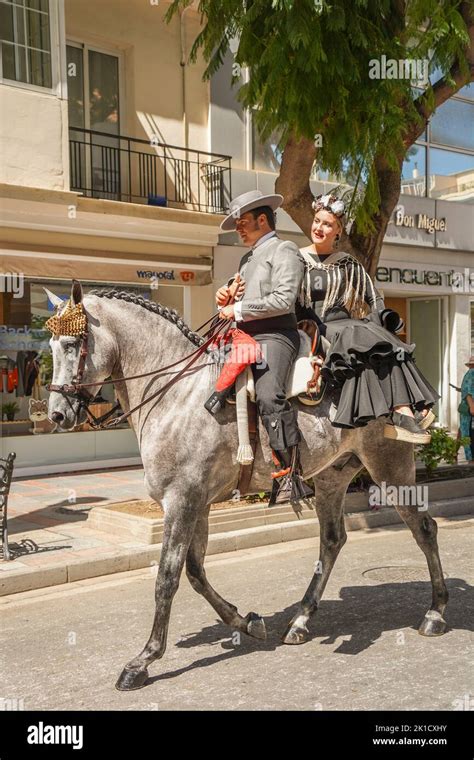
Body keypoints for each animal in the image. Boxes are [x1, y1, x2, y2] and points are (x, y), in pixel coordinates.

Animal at [47, 284, 448, 688]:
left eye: (71, 343)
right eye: (50, 346)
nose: (57, 415)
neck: (176, 395)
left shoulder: (182, 500)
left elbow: (167, 578)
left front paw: (144, 659)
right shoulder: (199, 502)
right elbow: (195, 572)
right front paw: (246, 622)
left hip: (390, 467)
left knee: (425, 529)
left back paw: (435, 613)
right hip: (331, 476)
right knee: (333, 540)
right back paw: (301, 620)